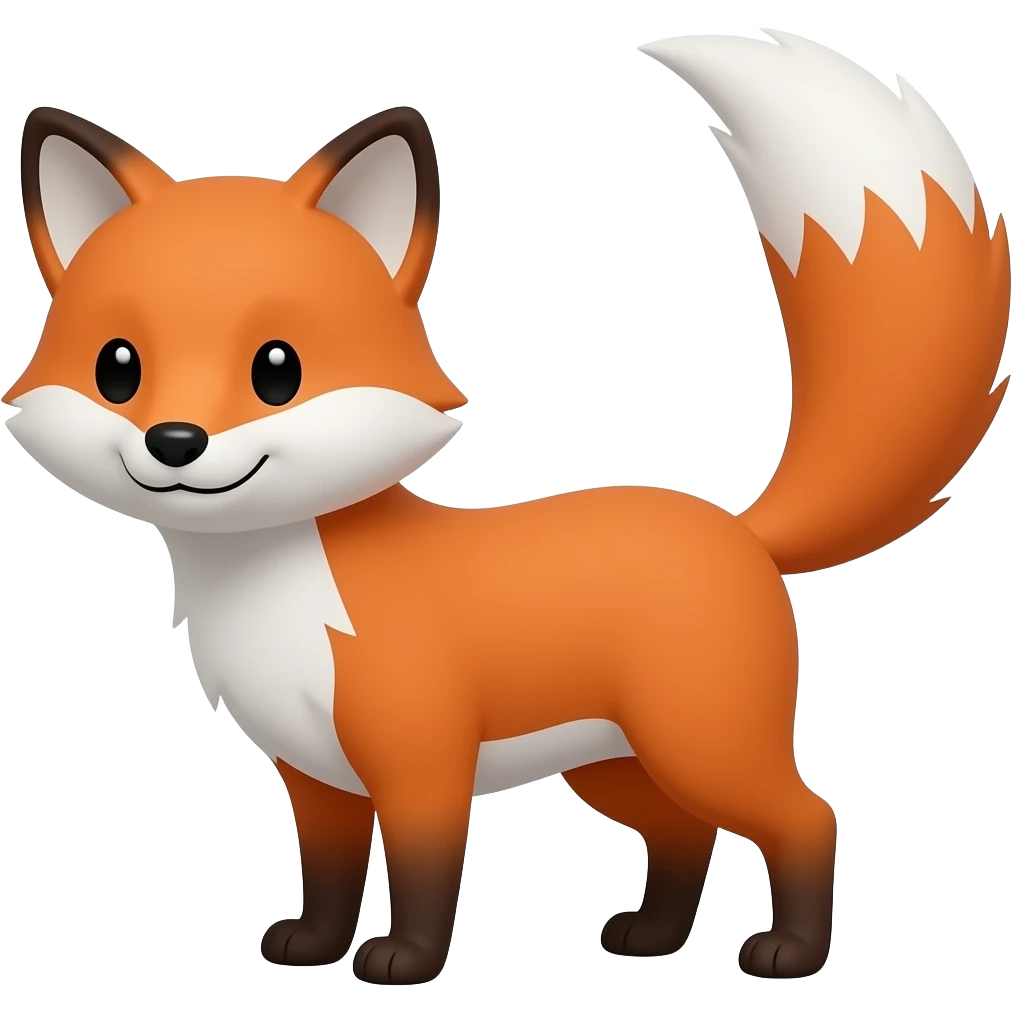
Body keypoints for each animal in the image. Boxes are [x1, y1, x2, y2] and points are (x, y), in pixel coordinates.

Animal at [7, 30, 1009, 985]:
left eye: (276, 369)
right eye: (119, 366)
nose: (175, 441)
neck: (276, 595)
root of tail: (735, 525)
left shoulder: (421, 761)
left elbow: (421, 875)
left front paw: (402, 963)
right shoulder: (316, 777)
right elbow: (326, 874)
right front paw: (312, 946)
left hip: (699, 741)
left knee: (806, 817)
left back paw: (788, 954)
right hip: (612, 764)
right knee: (683, 835)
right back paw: (650, 938)